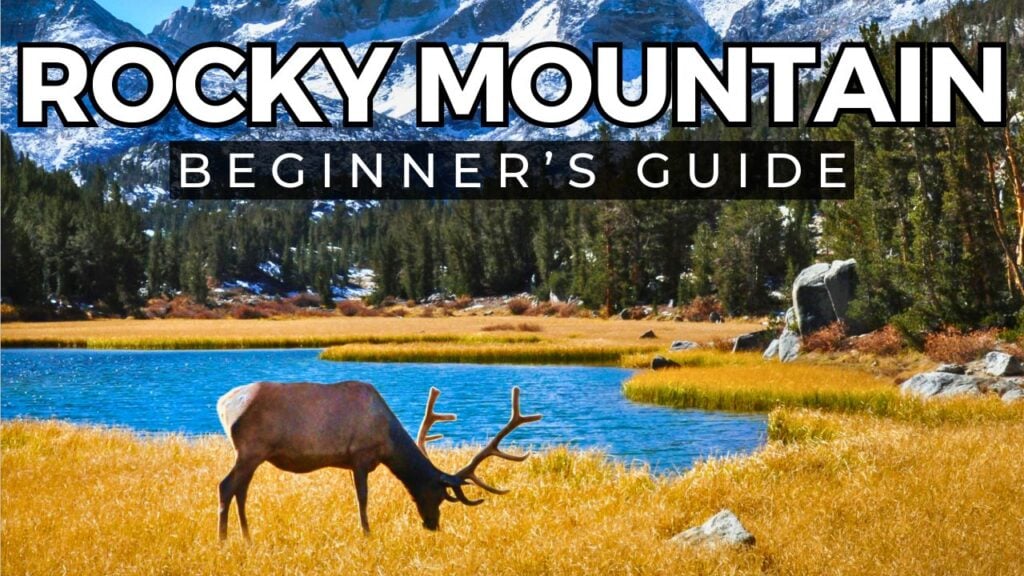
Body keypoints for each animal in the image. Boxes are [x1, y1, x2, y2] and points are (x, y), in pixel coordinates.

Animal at [215, 381, 541, 540]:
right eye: (439, 494)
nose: (432, 525)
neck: (388, 442)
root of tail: (222, 404)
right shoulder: (360, 454)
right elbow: (362, 497)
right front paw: (367, 532)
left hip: (253, 455)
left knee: (241, 491)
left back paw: (246, 536)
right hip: (251, 449)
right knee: (225, 486)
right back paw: (223, 539)